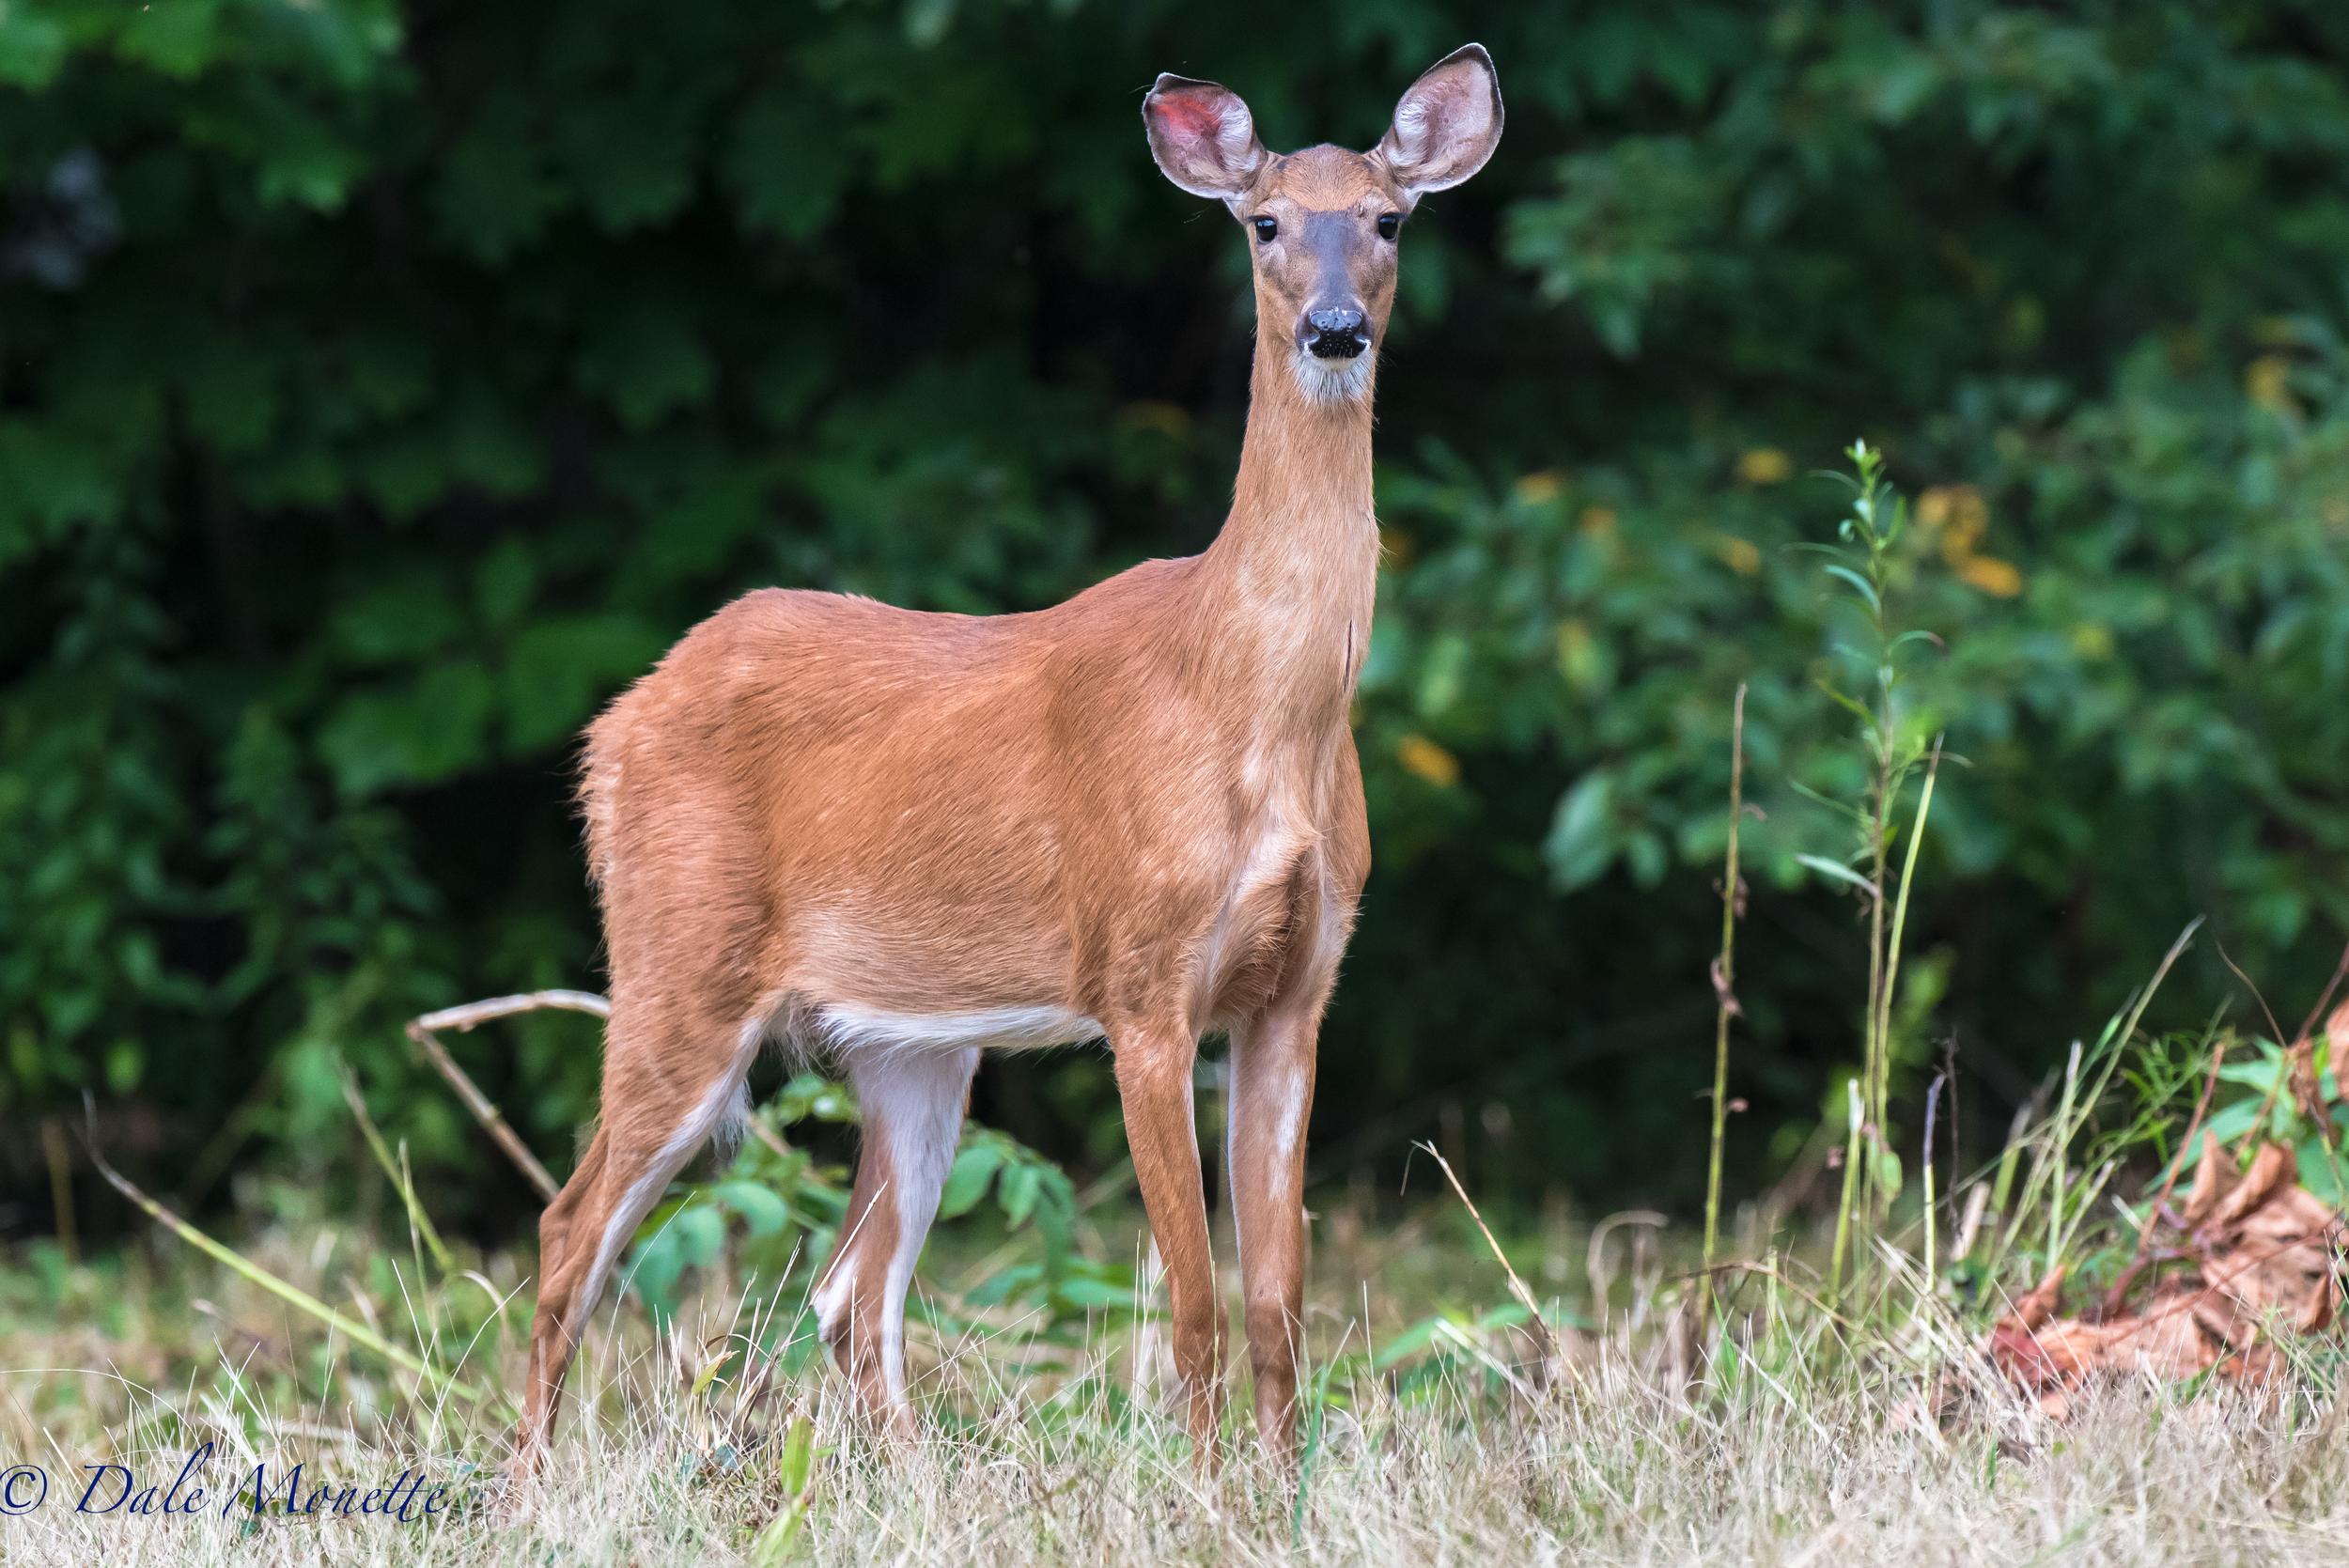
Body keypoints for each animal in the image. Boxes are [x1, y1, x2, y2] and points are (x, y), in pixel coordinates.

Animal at [514, 42, 1503, 1474]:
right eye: (1266, 223)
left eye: (1386, 220)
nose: (1333, 331)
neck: (1254, 705)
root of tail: (617, 726)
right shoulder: (1141, 977)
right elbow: (1194, 1300)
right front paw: (1209, 1492)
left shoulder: (1297, 990)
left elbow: (1280, 1299)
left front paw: (1280, 1487)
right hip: (677, 957)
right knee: (570, 1228)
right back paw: (524, 1484)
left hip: (909, 1038)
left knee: (851, 1286)